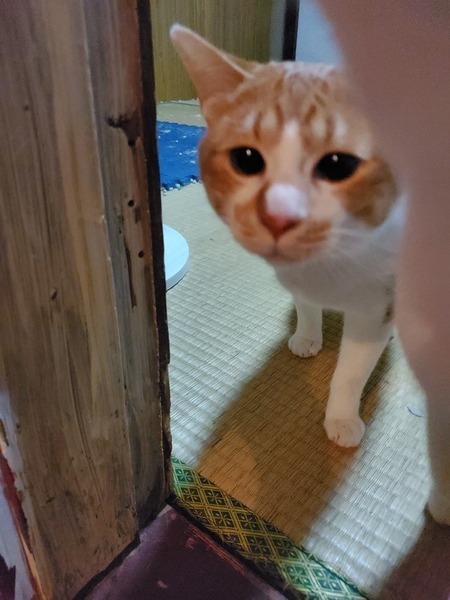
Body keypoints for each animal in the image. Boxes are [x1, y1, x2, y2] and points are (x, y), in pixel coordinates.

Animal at [170, 24, 404, 448]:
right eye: (246, 159)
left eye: (338, 164)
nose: (279, 216)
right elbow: (306, 305)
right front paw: (307, 335)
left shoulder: (376, 303)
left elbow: (351, 371)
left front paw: (342, 417)